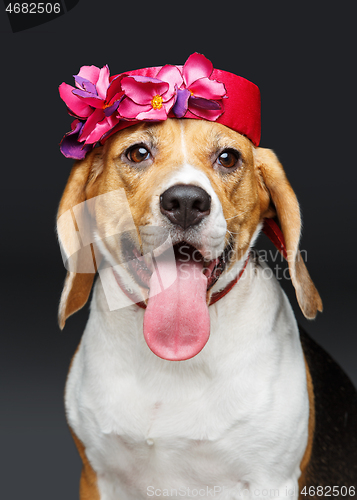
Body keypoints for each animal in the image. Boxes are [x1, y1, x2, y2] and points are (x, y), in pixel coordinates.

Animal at [57, 118, 354, 500]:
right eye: (138, 153)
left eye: (228, 158)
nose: (185, 201)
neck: (171, 360)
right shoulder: (97, 477)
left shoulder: (270, 482)